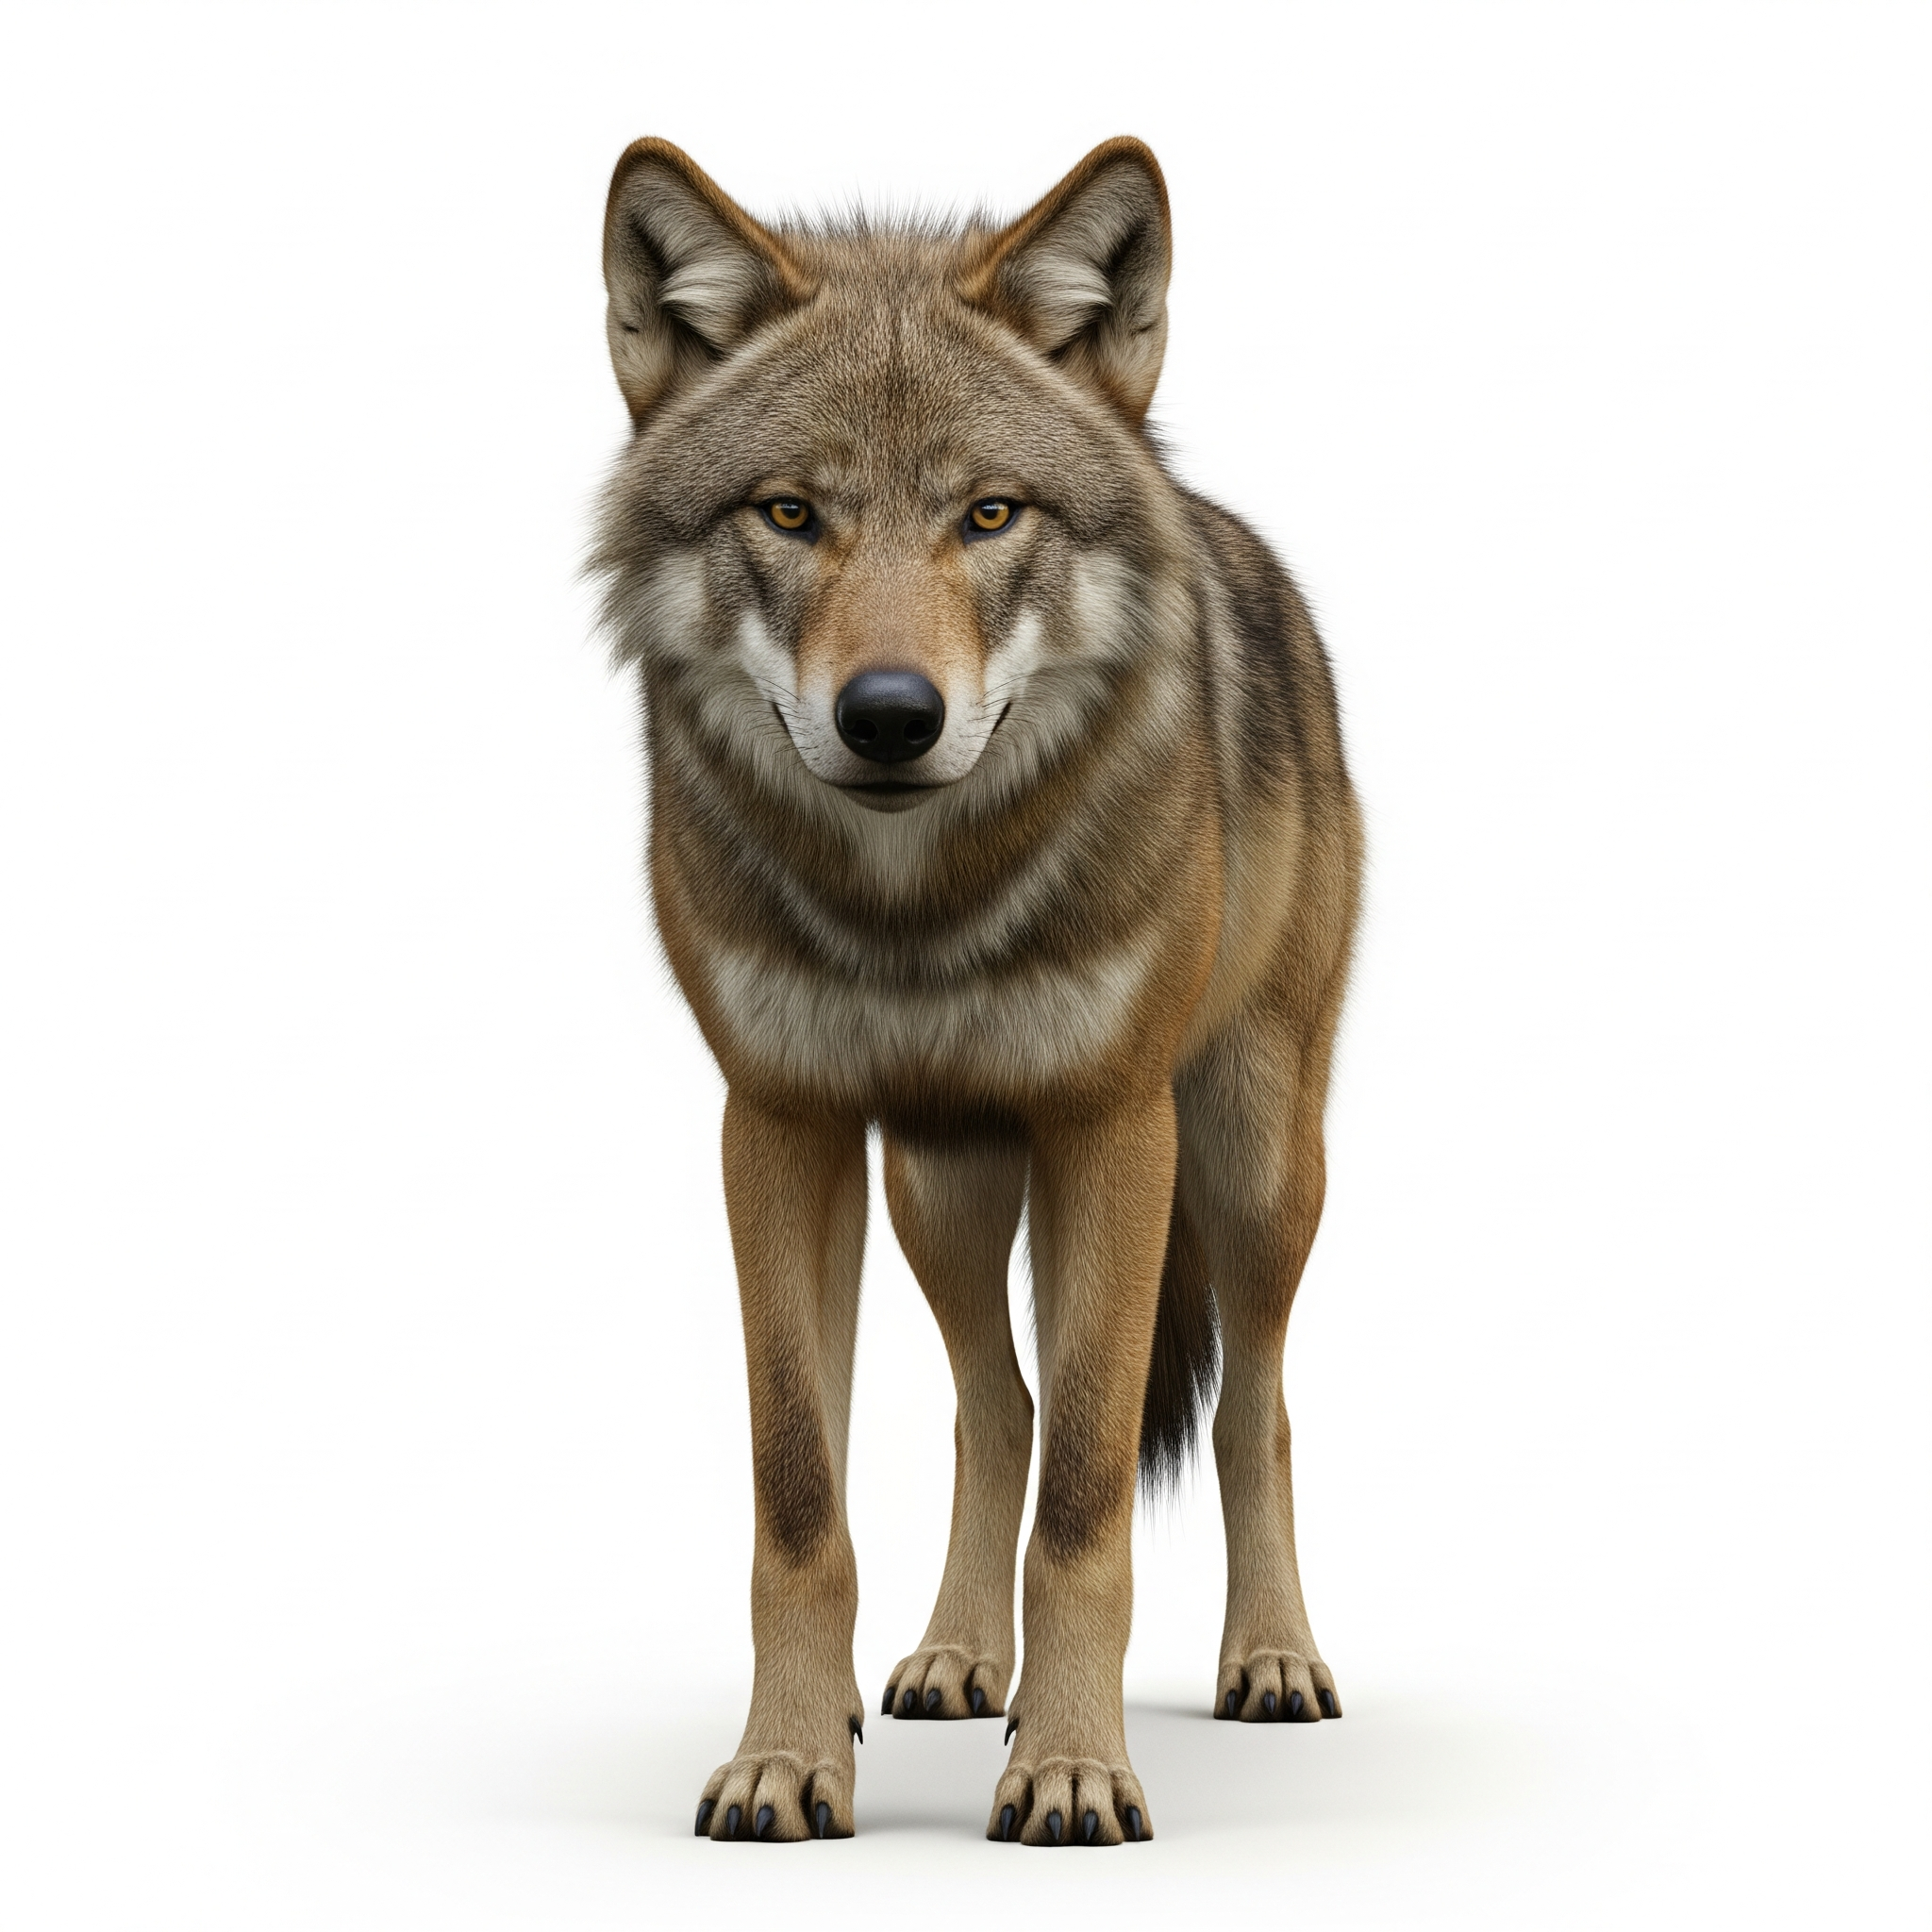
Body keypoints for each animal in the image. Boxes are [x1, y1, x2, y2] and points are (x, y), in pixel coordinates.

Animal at [591, 136, 1362, 1847]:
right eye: (792, 513)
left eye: (988, 514)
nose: (889, 714)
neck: (915, 909)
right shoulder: (781, 1126)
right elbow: (804, 1492)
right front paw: (784, 1761)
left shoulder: (1111, 1127)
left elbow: (1087, 1493)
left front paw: (1072, 1769)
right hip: (939, 1183)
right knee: (990, 1401)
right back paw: (954, 1657)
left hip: (1249, 1155)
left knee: (1251, 1404)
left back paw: (1272, 1661)